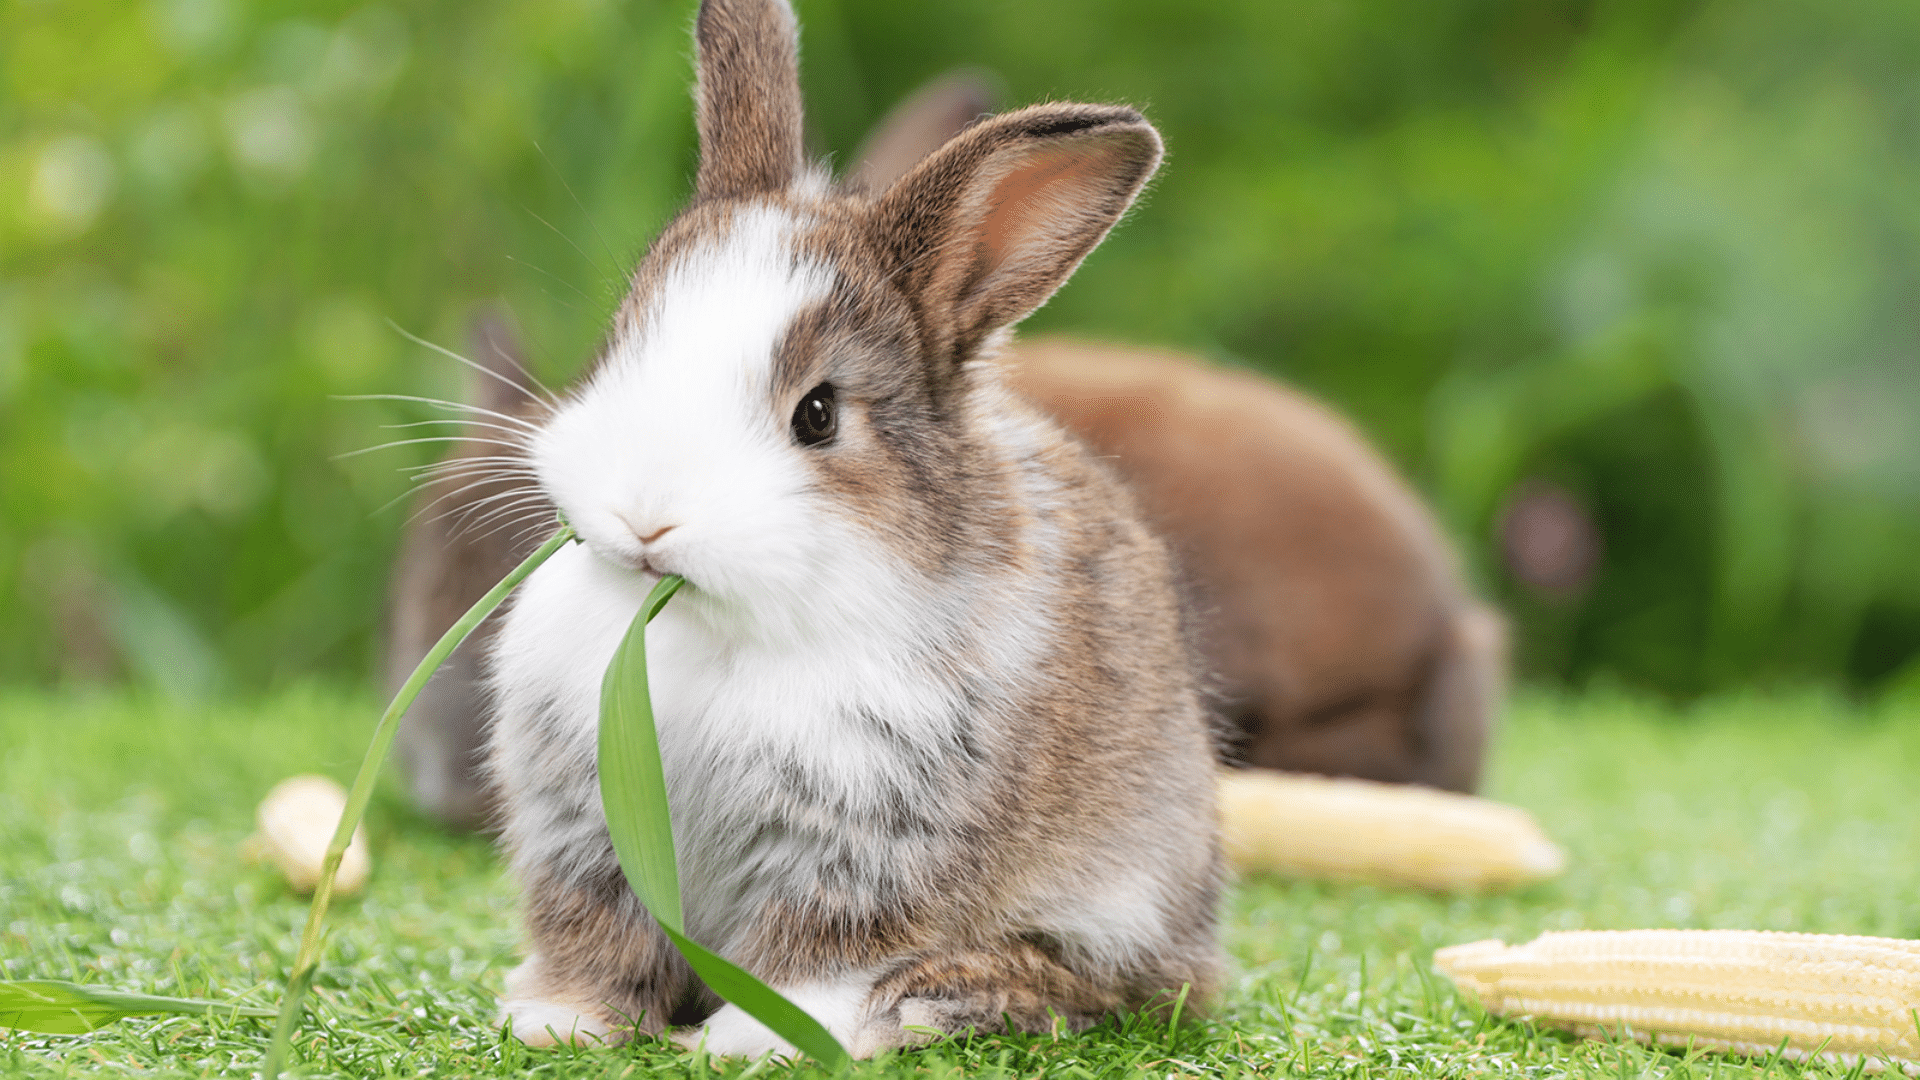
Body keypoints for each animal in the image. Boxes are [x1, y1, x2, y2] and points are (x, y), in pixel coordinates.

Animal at [479, 0, 1222, 1057]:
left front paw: (752, 1044)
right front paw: (558, 1021)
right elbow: (595, 935)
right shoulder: (585, 836)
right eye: (619, 345)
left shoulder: (863, 849)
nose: (645, 517)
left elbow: (812, 957)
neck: (708, 624)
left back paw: (949, 995)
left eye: (819, 415)